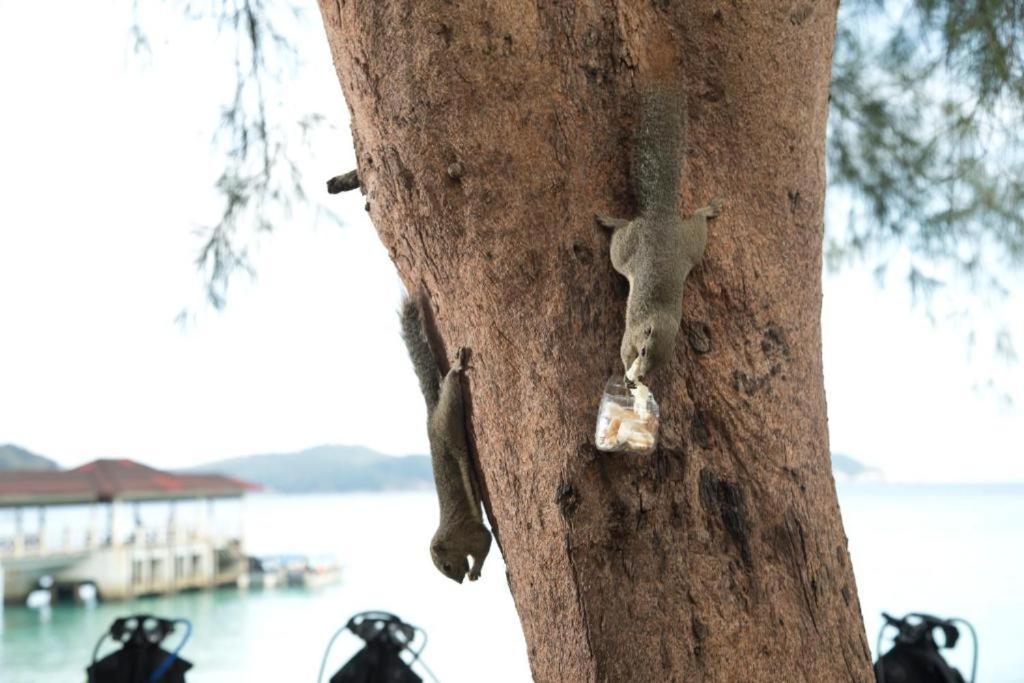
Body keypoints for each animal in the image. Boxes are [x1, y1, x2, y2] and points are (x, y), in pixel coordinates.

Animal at [399, 296, 491, 585]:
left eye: (446, 566)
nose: (459, 581)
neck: (450, 537)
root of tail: (431, 419)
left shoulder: (472, 534)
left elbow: (485, 543)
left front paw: (475, 570)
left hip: (448, 416)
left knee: (451, 385)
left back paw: (457, 367)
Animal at [593, 84, 720, 382]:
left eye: (660, 366)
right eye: (643, 352)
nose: (639, 378)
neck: (659, 316)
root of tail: (661, 217)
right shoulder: (631, 333)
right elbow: (622, 350)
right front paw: (625, 372)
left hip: (690, 243)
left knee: (697, 223)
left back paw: (706, 210)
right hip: (630, 247)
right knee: (620, 237)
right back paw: (610, 220)